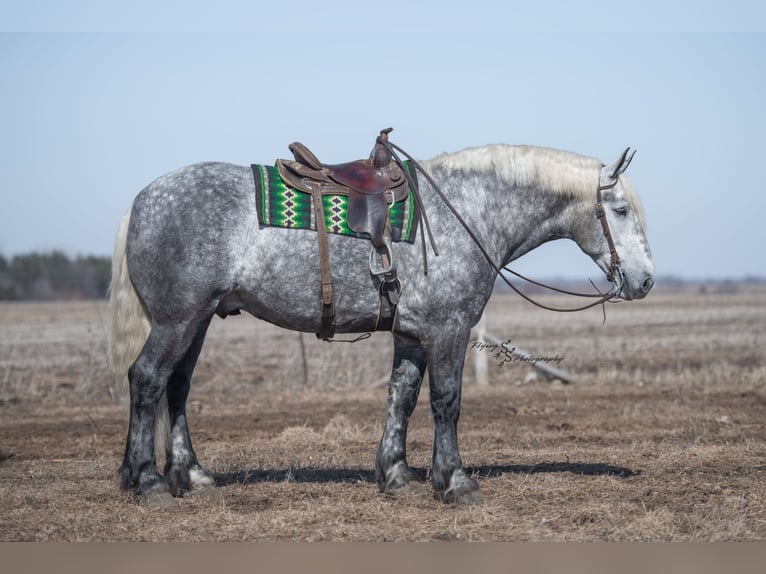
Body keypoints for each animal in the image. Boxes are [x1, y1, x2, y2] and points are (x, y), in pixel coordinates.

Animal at [109, 139, 654, 506]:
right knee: (148, 379)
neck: (467, 210)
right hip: (177, 321)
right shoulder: (448, 329)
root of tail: (142, 199)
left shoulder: (411, 334)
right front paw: (454, 481)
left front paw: (396, 475)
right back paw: (148, 480)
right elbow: (446, 401)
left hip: (198, 321)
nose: (645, 280)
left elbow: (403, 398)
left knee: (177, 387)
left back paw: (190, 476)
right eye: (620, 210)